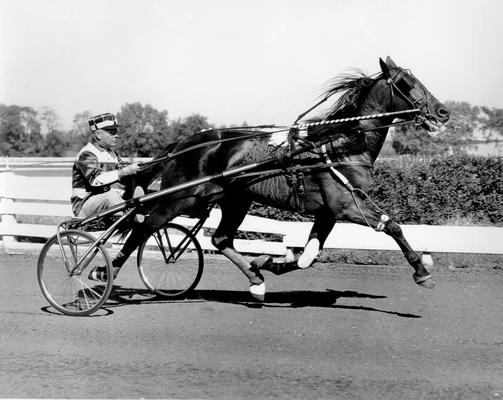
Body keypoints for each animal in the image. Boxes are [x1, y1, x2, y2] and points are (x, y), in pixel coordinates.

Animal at [112, 56, 450, 300]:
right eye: (406, 83)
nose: (443, 112)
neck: (340, 144)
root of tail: (183, 144)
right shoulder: (346, 206)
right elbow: (392, 226)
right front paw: (421, 272)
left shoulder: (328, 212)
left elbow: (308, 256)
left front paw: (268, 263)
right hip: (181, 197)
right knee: (144, 227)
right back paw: (106, 273)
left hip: (235, 199)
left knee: (220, 238)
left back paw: (256, 280)